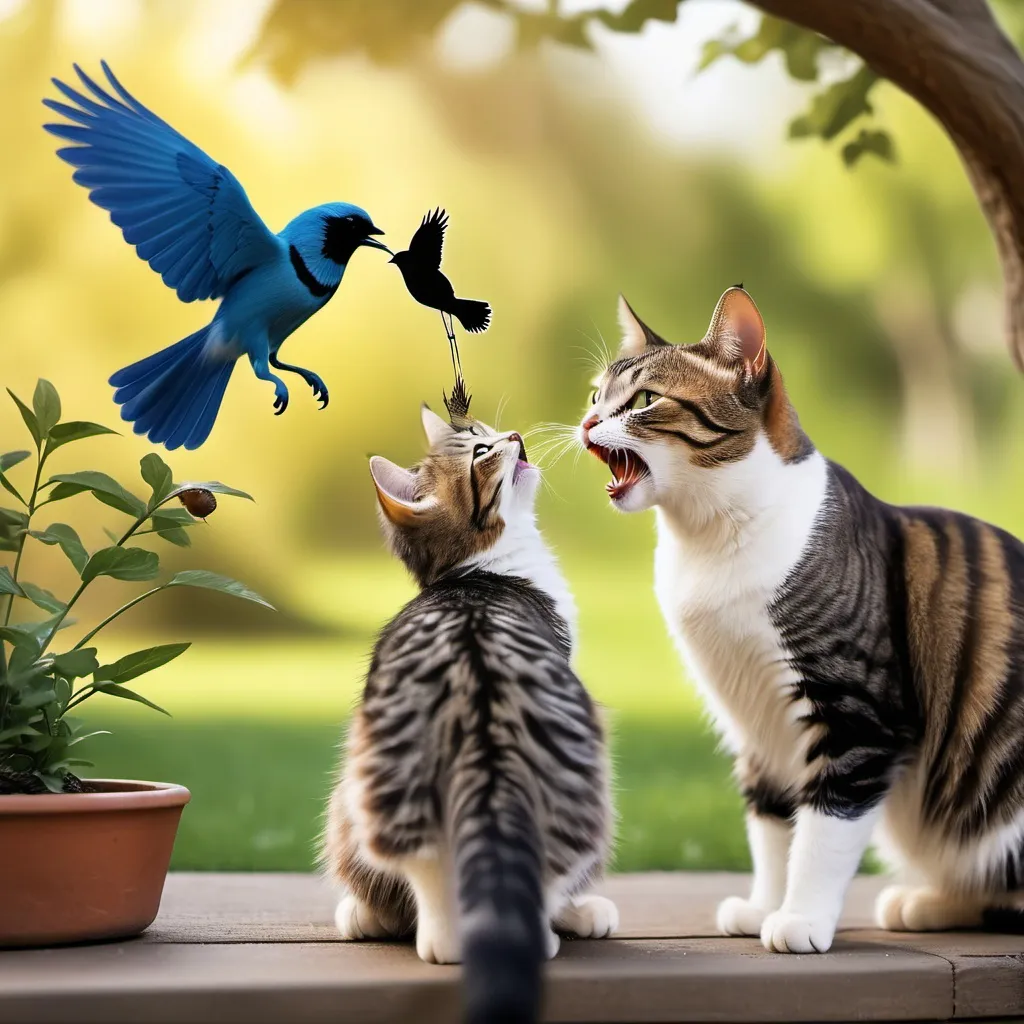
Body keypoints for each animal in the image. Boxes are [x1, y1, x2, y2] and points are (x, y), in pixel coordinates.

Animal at [581, 286, 1024, 950]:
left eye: (643, 401)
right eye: (594, 397)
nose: (585, 423)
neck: (710, 541)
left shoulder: (856, 716)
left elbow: (823, 831)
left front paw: (800, 920)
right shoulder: (757, 723)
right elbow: (772, 825)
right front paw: (764, 906)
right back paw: (924, 901)